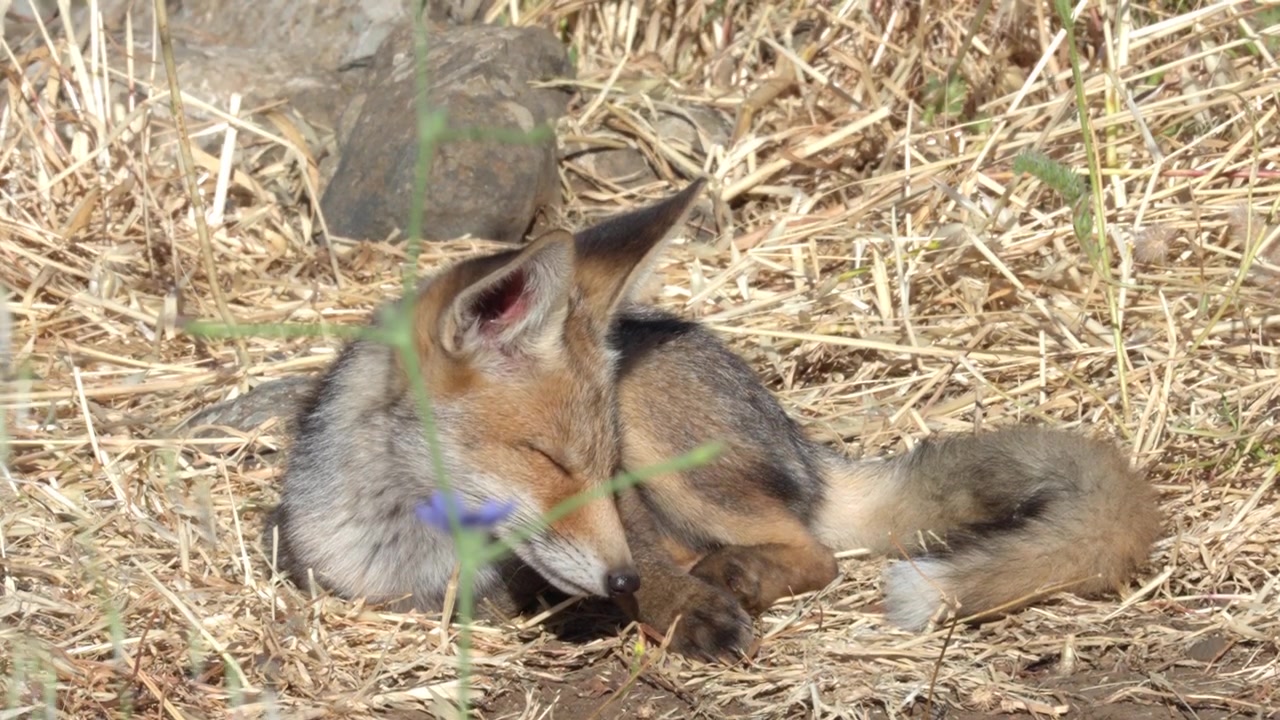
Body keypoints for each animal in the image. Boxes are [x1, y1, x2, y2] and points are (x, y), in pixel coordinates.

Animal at [264, 179, 1163, 659]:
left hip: (663, 430)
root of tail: (806, 445)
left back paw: (734, 575)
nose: (620, 580)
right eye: (550, 460)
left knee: (814, 553)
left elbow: (663, 574)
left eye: (604, 468)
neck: (426, 550)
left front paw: (677, 606)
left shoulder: (633, 517)